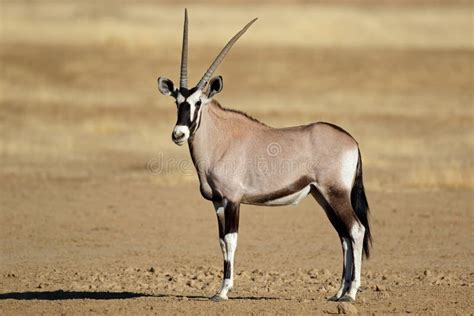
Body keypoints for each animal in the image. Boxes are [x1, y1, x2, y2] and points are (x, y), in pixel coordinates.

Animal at [157, 9, 372, 302]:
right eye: (177, 103)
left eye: (198, 102)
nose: (178, 134)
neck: (222, 139)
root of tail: (352, 141)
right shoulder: (217, 202)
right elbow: (221, 242)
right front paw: (219, 289)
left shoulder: (233, 199)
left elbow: (231, 240)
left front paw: (223, 291)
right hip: (323, 197)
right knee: (344, 237)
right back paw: (338, 292)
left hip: (336, 194)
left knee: (356, 230)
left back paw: (350, 293)